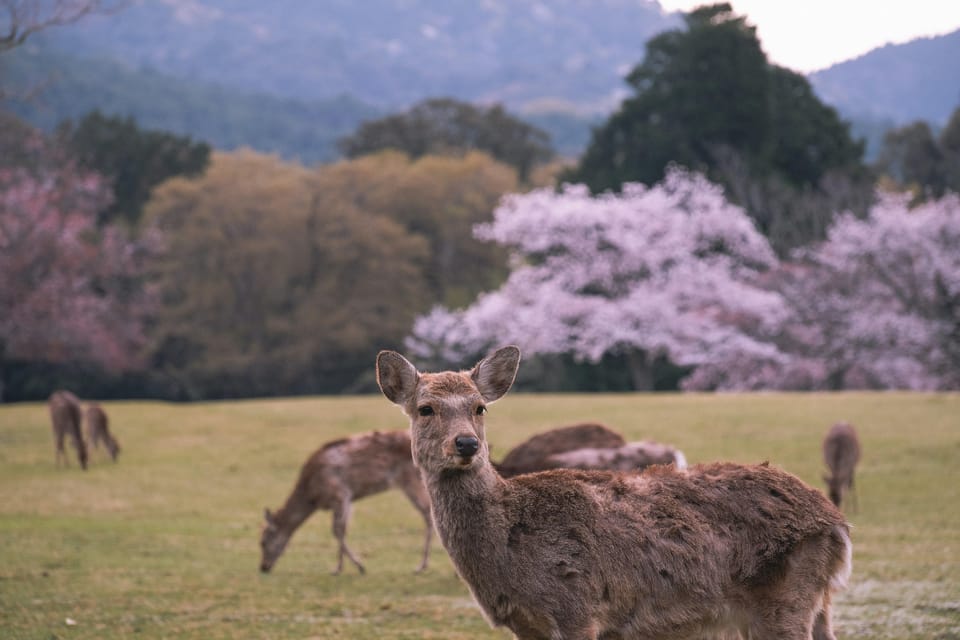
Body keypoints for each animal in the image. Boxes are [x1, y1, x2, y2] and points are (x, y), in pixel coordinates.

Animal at [256, 430, 434, 576]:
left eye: (263, 541)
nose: (263, 567)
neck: (312, 496)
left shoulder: (340, 494)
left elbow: (337, 530)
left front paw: (351, 567)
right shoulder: (347, 500)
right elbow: (343, 529)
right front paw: (342, 567)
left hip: (411, 479)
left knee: (428, 514)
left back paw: (421, 566)